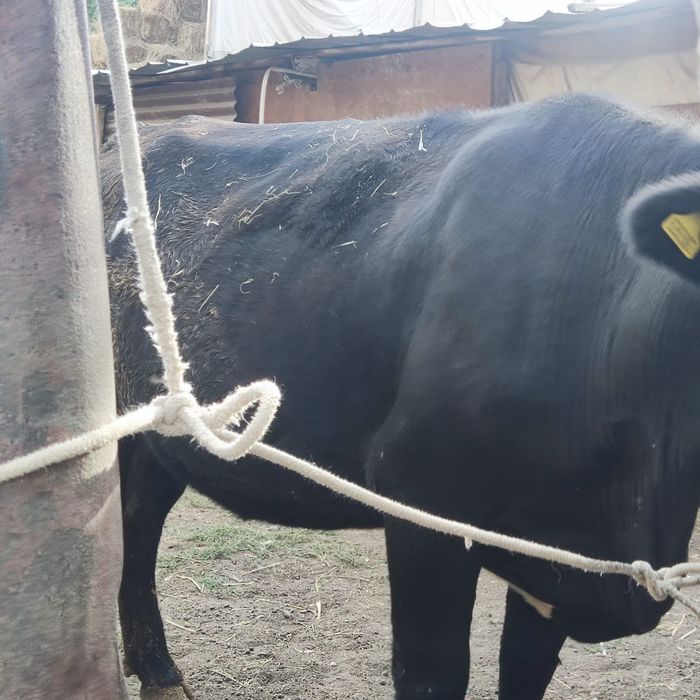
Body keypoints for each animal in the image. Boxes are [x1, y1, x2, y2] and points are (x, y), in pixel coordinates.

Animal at [103, 93, 700, 700]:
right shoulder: (421, 492)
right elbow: (433, 672)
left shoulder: (554, 554)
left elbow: (526, 668)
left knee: (140, 516)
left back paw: (158, 672)